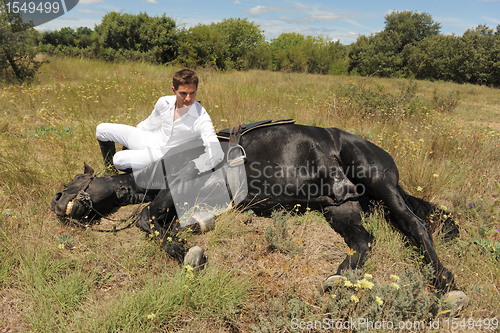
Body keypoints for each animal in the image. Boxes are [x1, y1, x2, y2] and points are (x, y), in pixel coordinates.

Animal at [49, 121, 468, 308]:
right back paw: (339, 277)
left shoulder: (179, 185)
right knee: (364, 241)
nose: (56, 202)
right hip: (340, 208)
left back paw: (446, 284)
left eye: (75, 180)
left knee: (416, 227)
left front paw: (190, 254)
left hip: (379, 184)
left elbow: (144, 220)